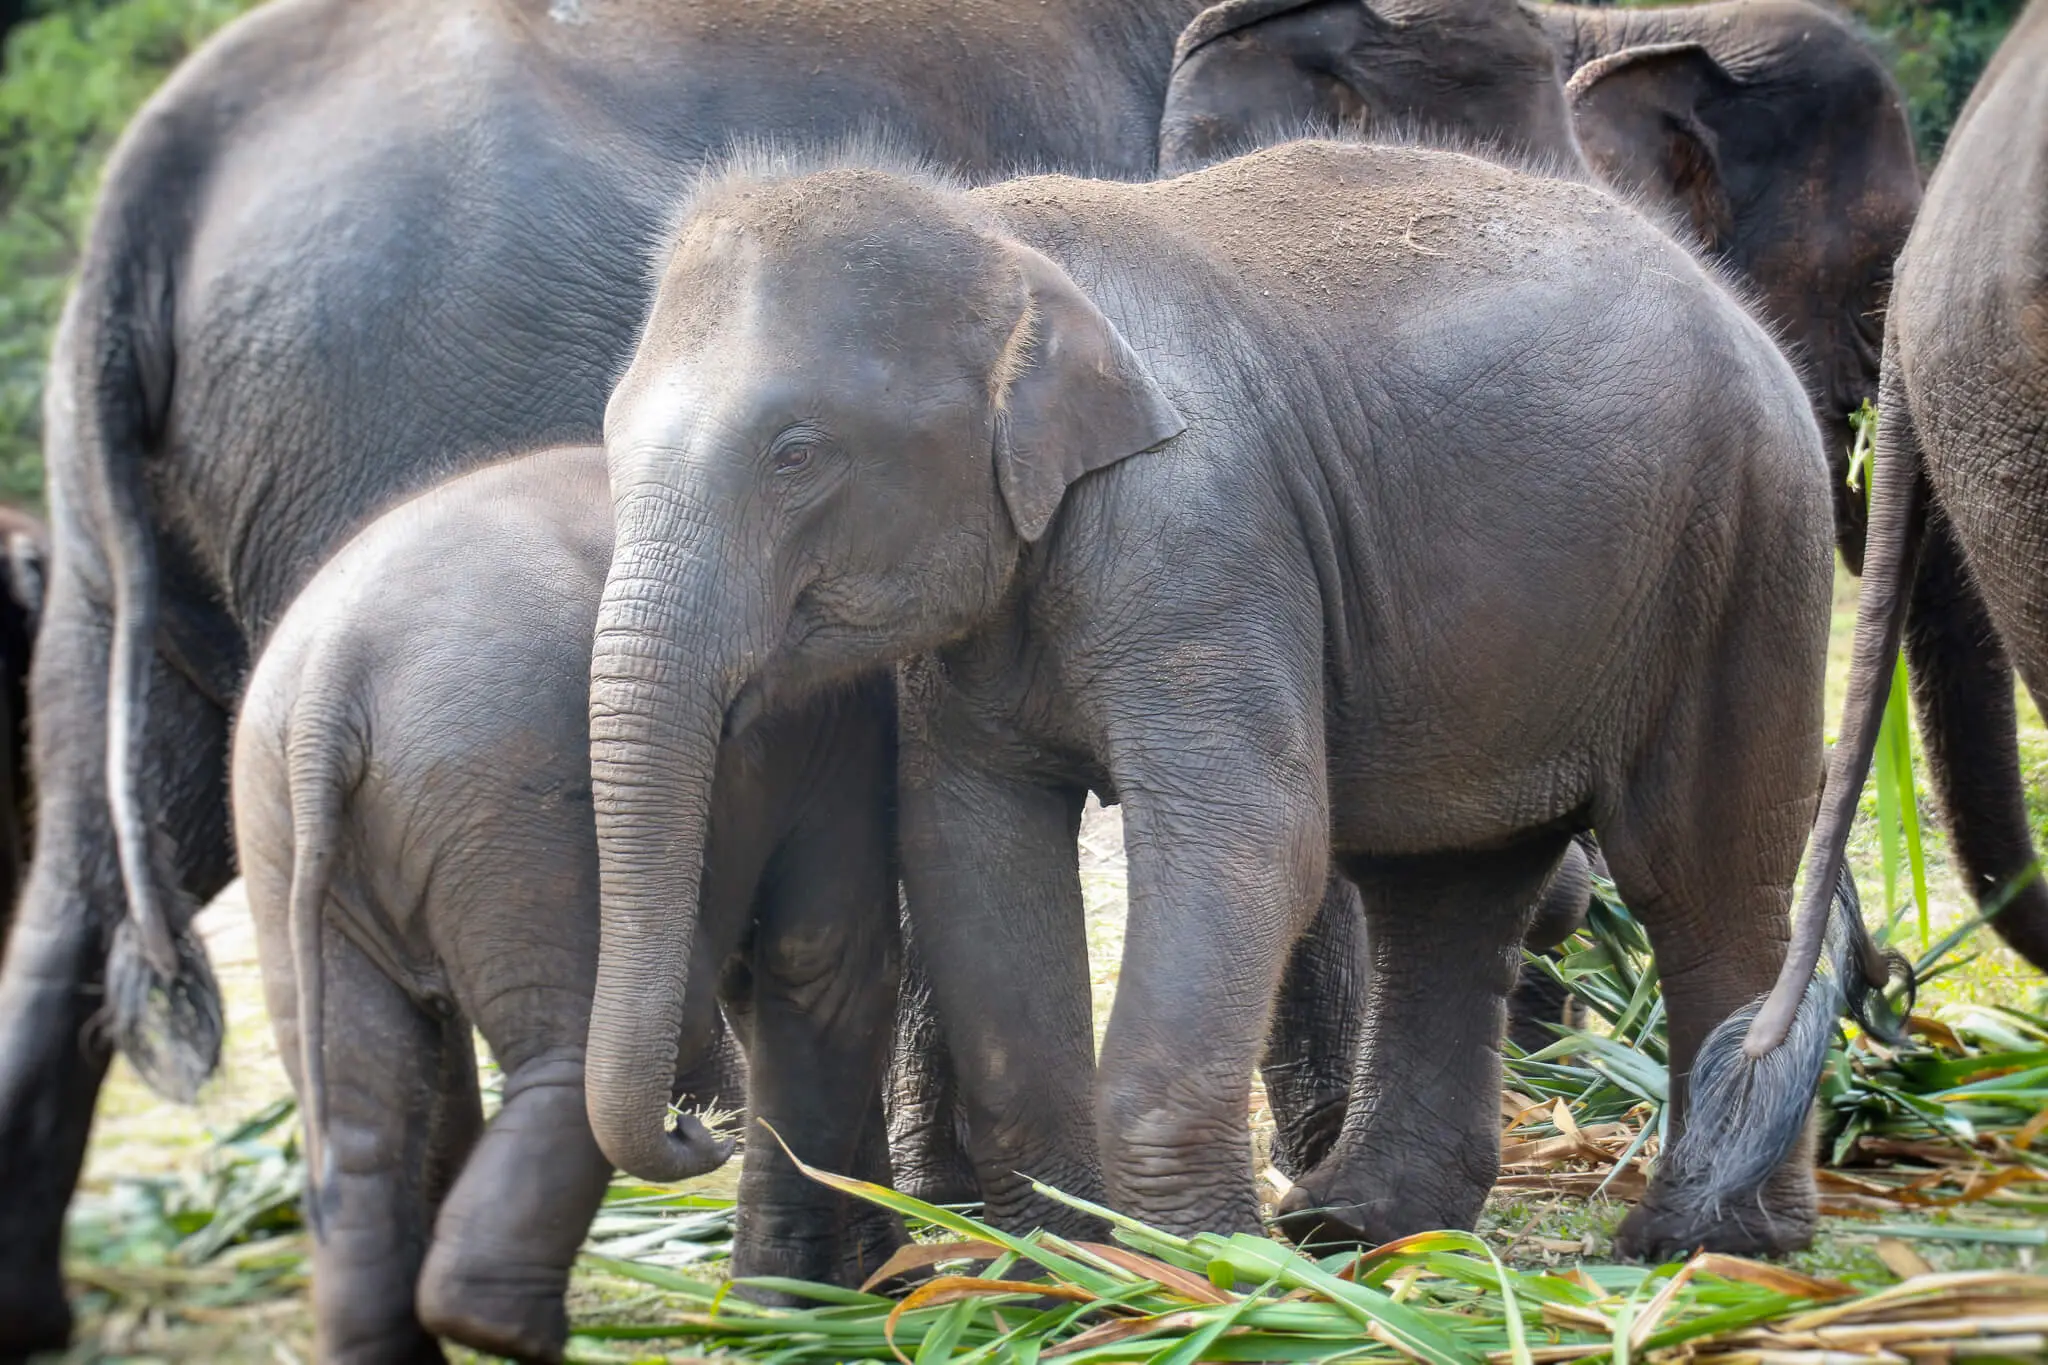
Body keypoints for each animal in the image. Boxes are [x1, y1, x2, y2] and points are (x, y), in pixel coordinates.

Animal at [232, 444, 900, 1363]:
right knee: (574, 1050)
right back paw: (509, 1327)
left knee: (360, 1104)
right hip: (516, 798)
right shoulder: (837, 725)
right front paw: (790, 1318)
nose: (699, 1128)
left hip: (281, 830)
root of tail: (335, 675)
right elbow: (823, 965)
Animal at [587, 137, 1886, 1259]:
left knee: (1699, 870)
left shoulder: (1202, 532)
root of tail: (1736, 308)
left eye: (794, 453)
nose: (693, 1121)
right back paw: (1360, 1224)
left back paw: (1706, 1241)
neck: (997, 233)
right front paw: (1072, 1261)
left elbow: (1244, 839)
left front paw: (1202, 1266)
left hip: (1747, 545)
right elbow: (968, 842)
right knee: (1442, 891)